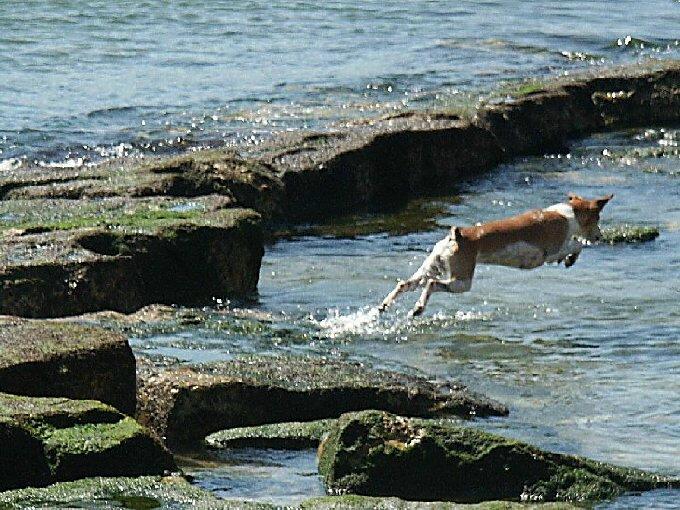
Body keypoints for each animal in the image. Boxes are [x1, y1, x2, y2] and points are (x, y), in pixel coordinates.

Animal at [380, 194, 612, 316]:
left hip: (429, 269)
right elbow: (576, 245)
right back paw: (418, 308)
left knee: (405, 284)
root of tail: (457, 236)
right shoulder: (550, 251)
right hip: (461, 282)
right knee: (432, 285)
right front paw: (570, 258)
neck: (566, 214)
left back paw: (384, 305)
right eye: (598, 218)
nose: (600, 236)